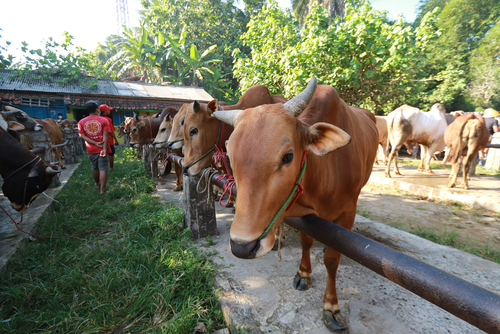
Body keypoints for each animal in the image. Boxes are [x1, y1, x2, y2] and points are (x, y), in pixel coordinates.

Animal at [212, 78, 378, 332]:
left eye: (288, 157)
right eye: (230, 157)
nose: (242, 247)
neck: (326, 169)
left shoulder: (348, 213)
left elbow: (333, 259)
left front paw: (331, 307)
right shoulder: (308, 216)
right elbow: (306, 241)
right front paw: (304, 273)